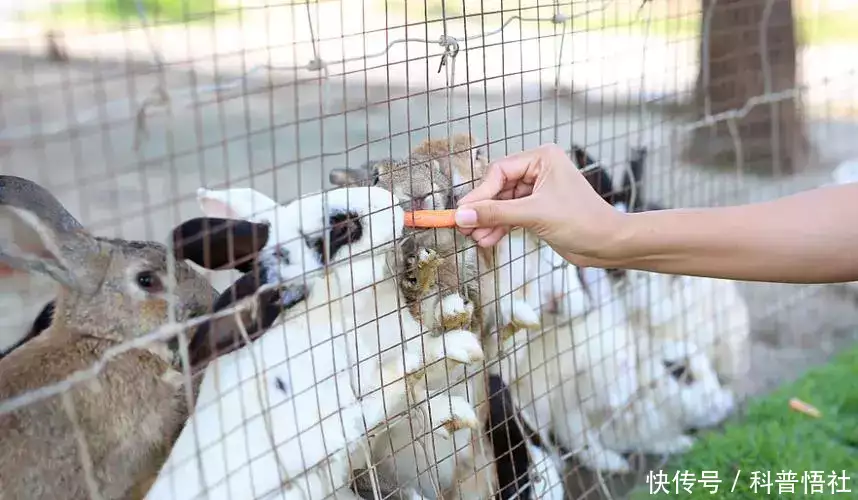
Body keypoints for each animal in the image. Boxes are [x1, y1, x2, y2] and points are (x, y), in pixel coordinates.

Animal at [147, 187, 482, 500]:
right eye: (342, 227)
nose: (388, 198)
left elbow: (422, 381)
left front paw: (459, 374)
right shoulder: (330, 425)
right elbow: (394, 390)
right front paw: (433, 362)